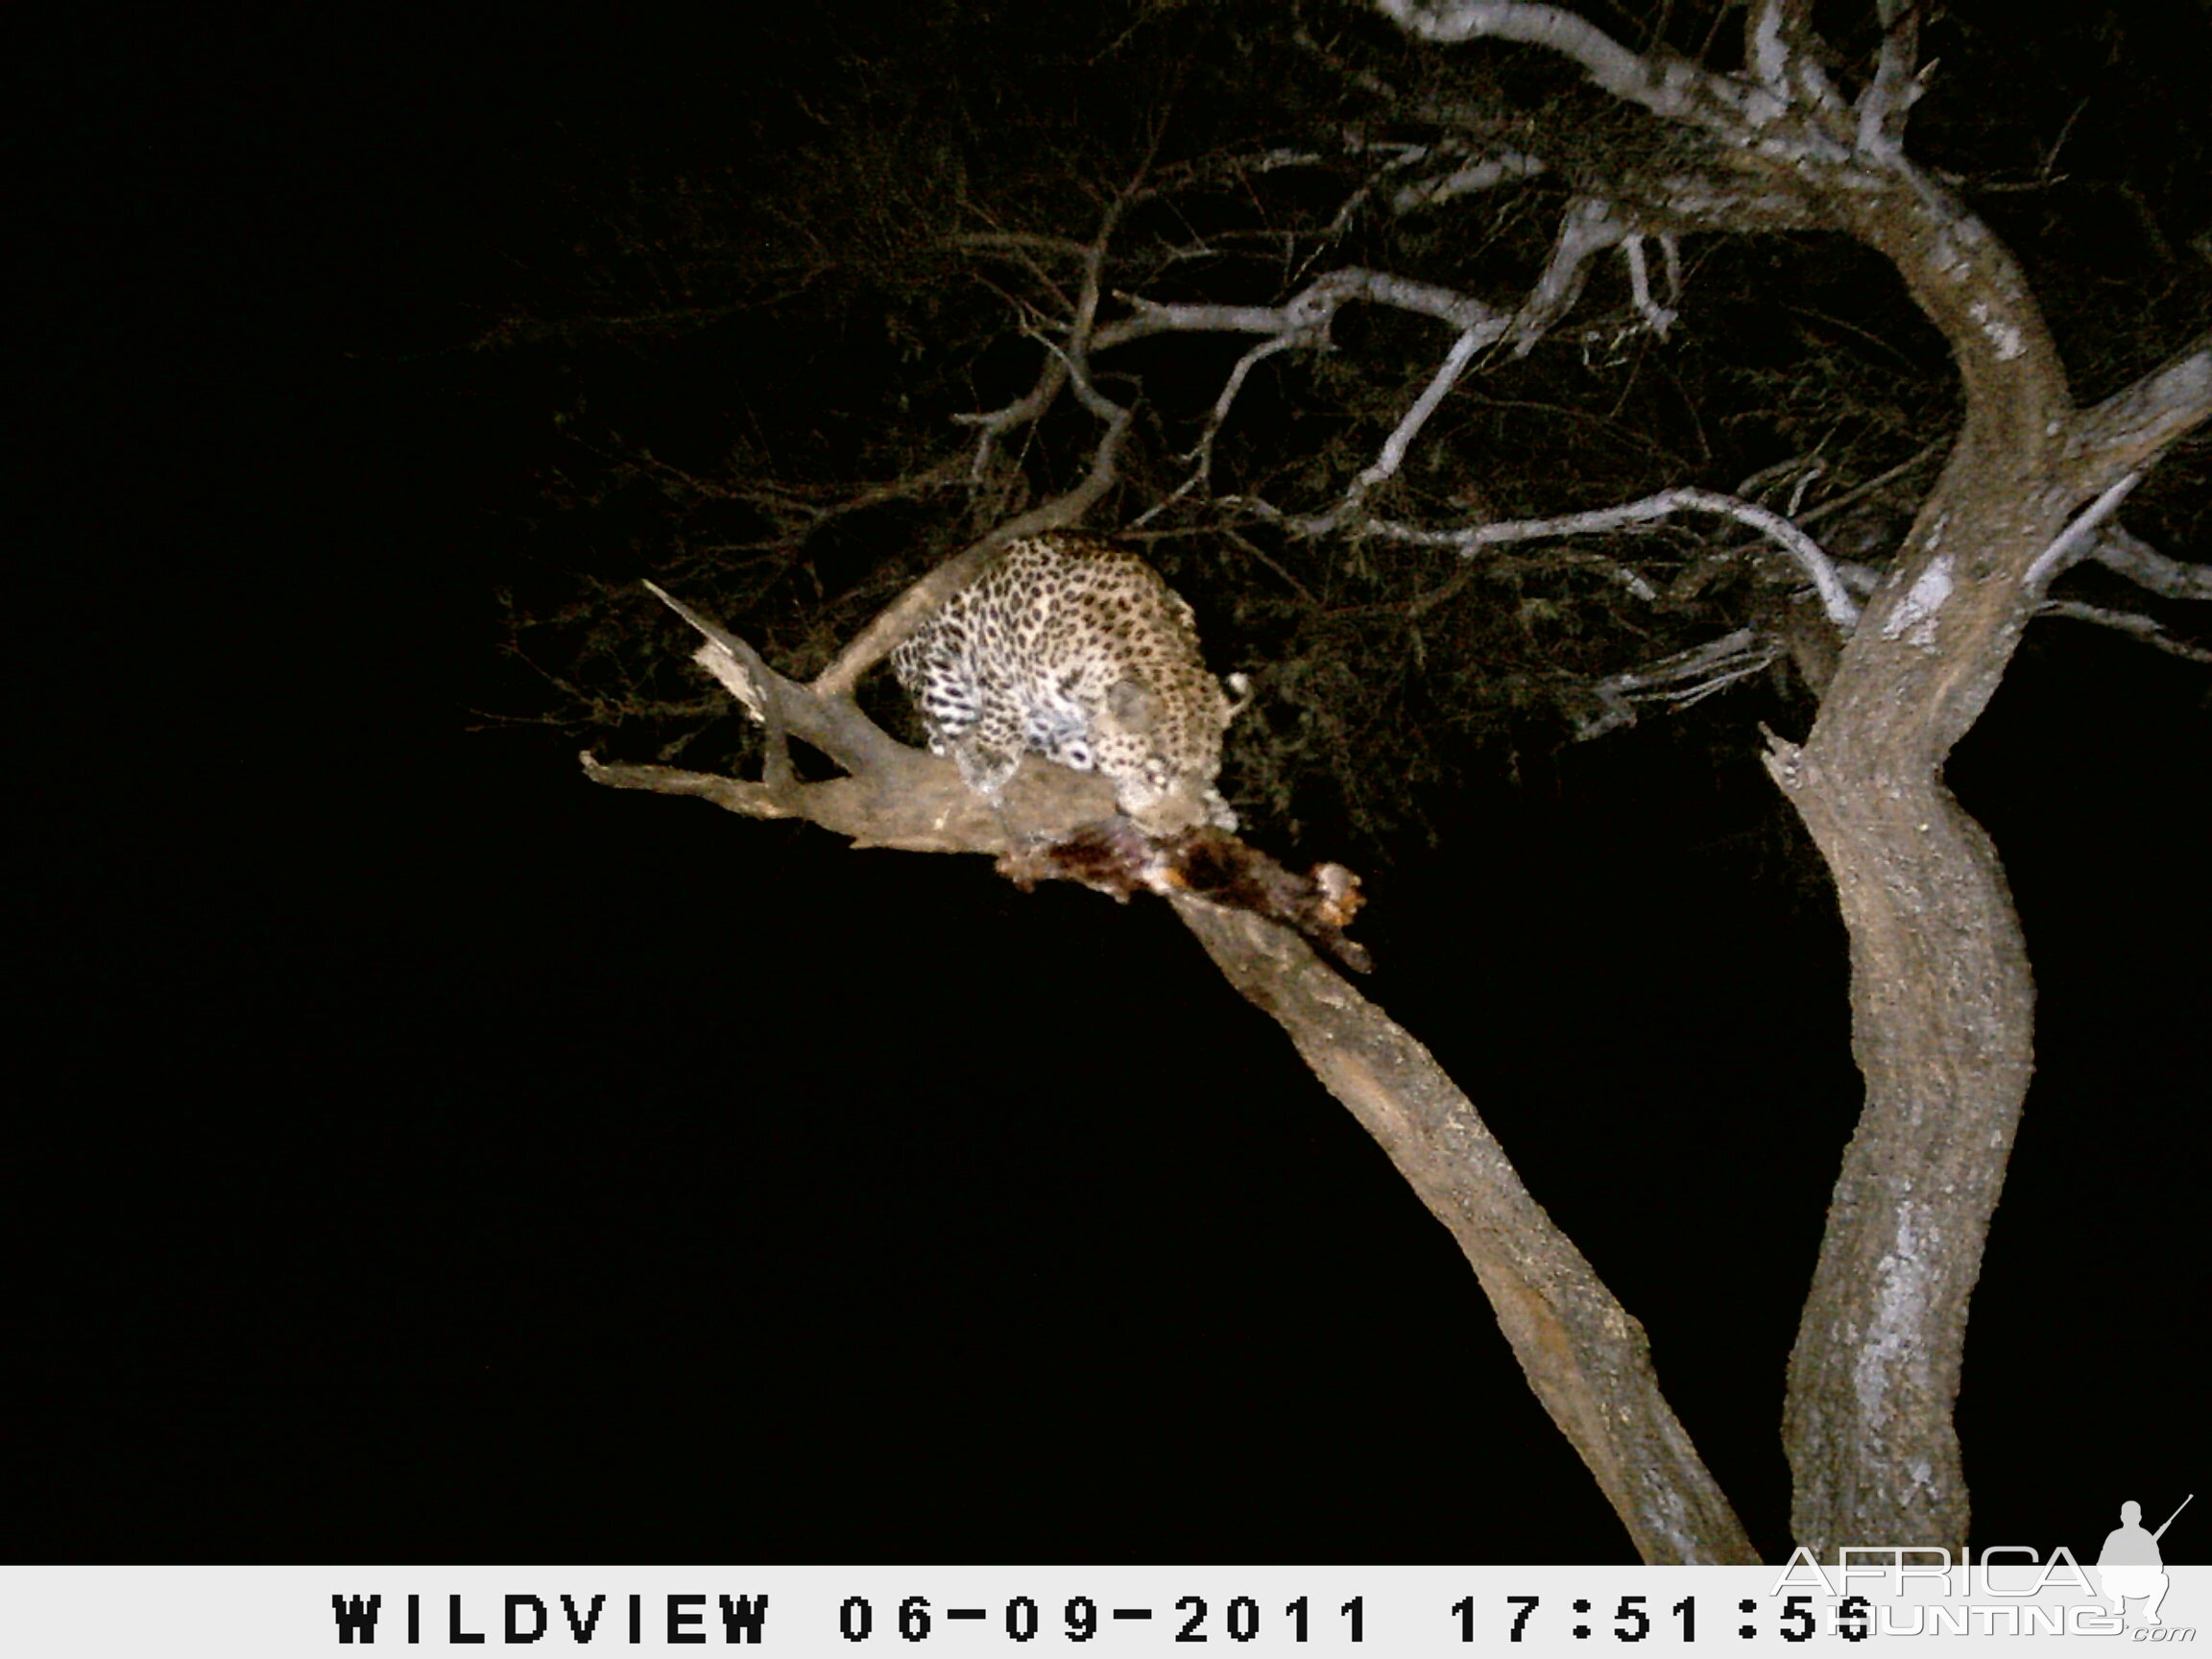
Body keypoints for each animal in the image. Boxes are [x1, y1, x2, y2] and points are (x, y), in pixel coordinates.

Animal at [893, 540, 1247, 835]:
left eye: (1207, 776)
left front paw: (1215, 805)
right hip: (935, 669)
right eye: (1154, 776)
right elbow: (1002, 700)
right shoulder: (991, 638)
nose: (1176, 829)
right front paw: (991, 754)